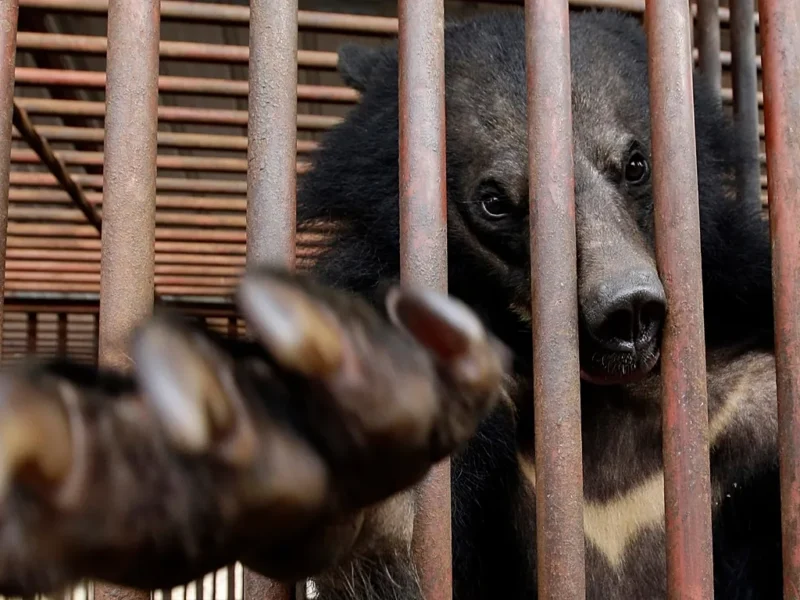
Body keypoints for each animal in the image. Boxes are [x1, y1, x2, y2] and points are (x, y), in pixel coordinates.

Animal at [0, 7, 783, 600]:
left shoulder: (747, 390)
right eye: (494, 202)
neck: (595, 401)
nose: (627, 312)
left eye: (637, 164)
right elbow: (396, 536)